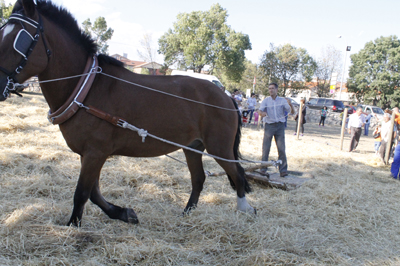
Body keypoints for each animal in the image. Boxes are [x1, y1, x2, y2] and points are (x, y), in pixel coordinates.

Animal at [0, 0, 255, 227]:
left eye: (20, 38)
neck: (86, 88)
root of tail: (226, 97)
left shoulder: (95, 153)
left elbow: (82, 193)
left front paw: (73, 225)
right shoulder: (89, 154)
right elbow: (93, 192)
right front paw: (124, 213)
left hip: (219, 148)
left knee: (238, 174)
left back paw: (244, 210)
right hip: (192, 147)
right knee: (199, 179)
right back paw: (186, 214)